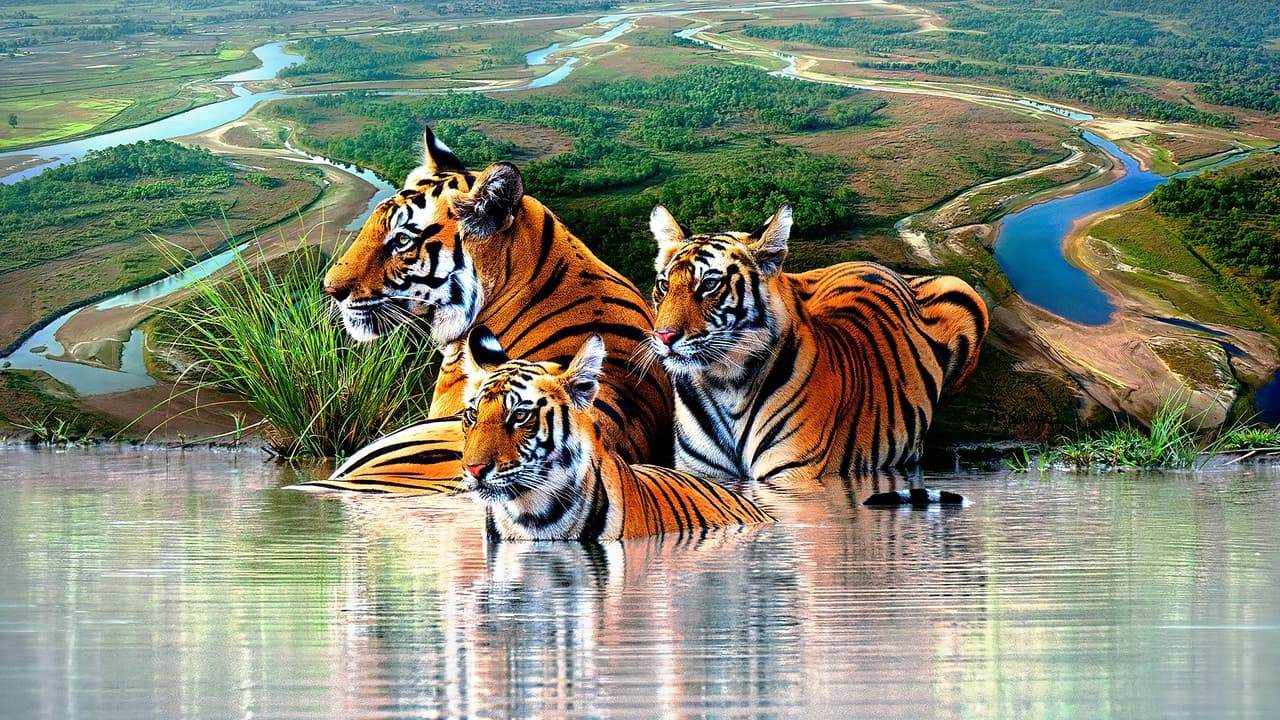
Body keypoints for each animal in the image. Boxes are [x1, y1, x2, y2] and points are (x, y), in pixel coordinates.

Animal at [644, 204, 988, 484]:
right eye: (663, 285)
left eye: (709, 284)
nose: (663, 336)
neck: (724, 383)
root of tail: (871, 263)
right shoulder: (700, 475)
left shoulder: (792, 472)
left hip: (963, 292)